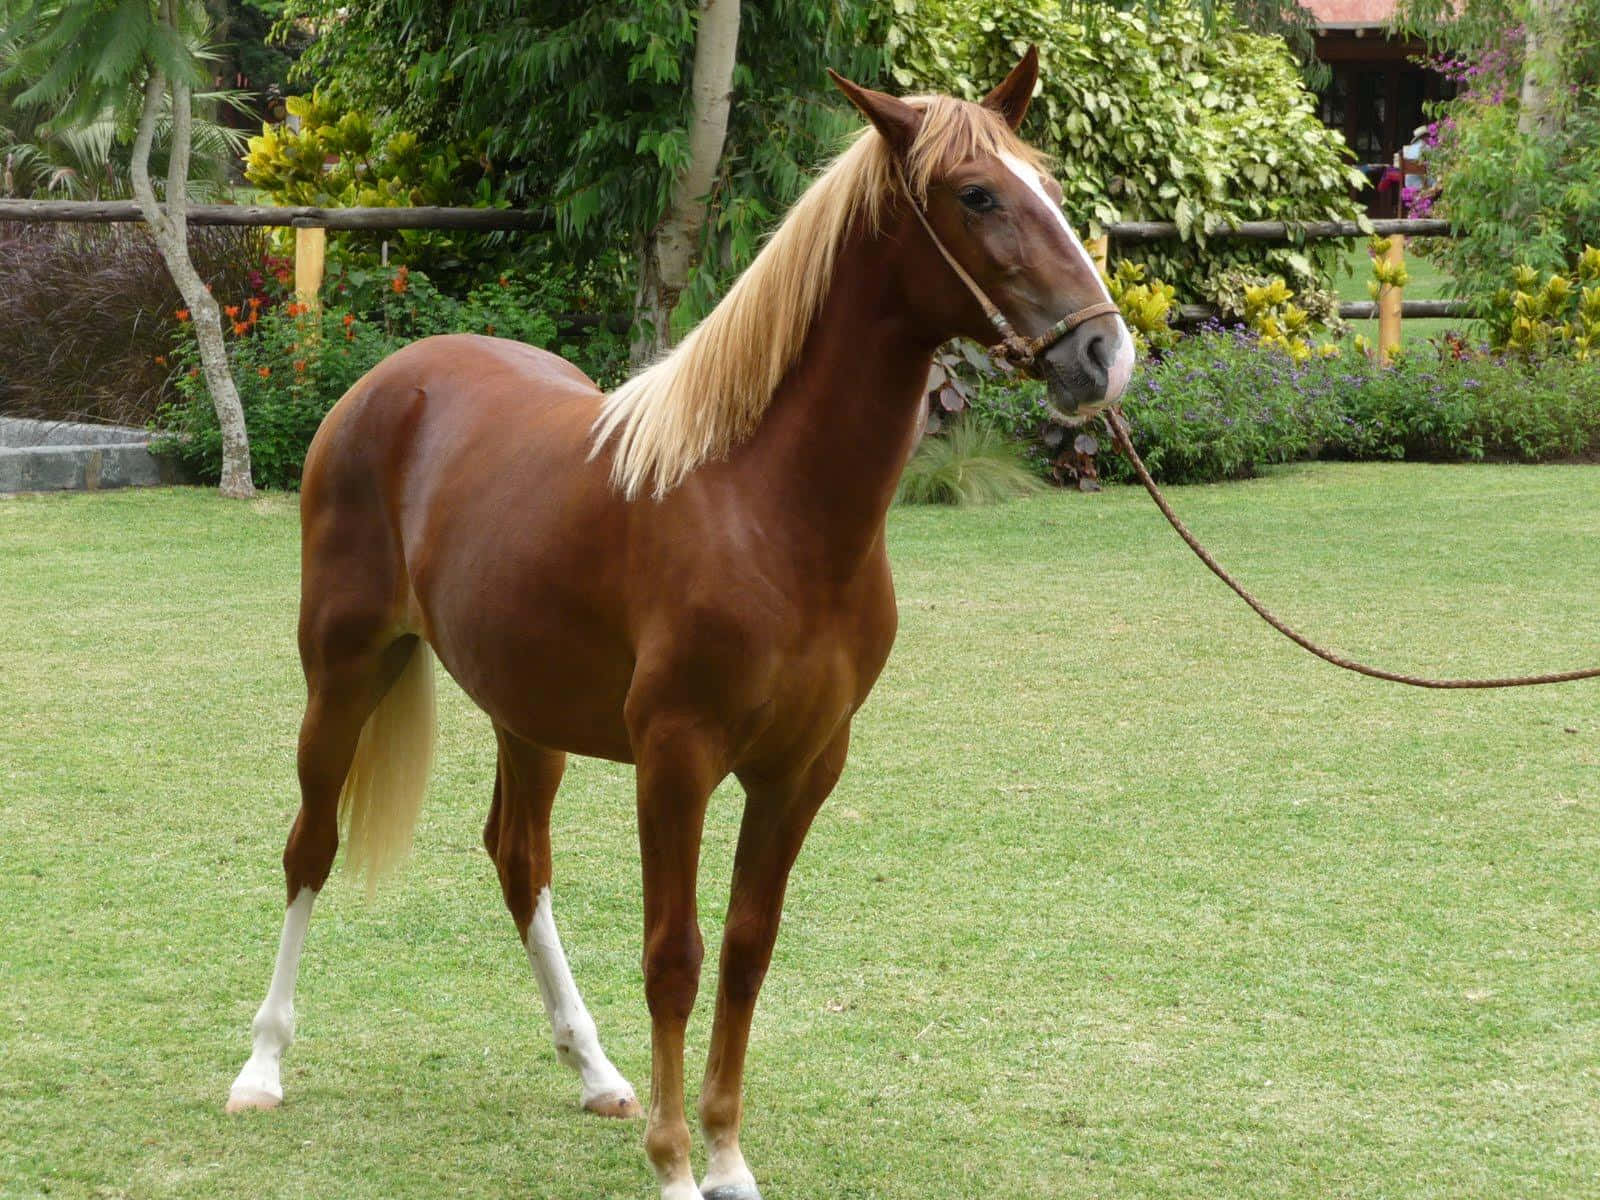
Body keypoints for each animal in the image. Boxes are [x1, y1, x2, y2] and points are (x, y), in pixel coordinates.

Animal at [228, 51, 1139, 1196]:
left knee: (518, 860)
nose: (1104, 355)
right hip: (343, 671)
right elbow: (675, 956)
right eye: (977, 195)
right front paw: (671, 1166)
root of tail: (388, 384)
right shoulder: (677, 759)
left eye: (1050, 188)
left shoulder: (802, 767)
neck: (765, 505)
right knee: (310, 846)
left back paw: (595, 1072)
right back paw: (262, 1067)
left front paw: (727, 1156)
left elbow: (747, 951)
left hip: (527, 715)